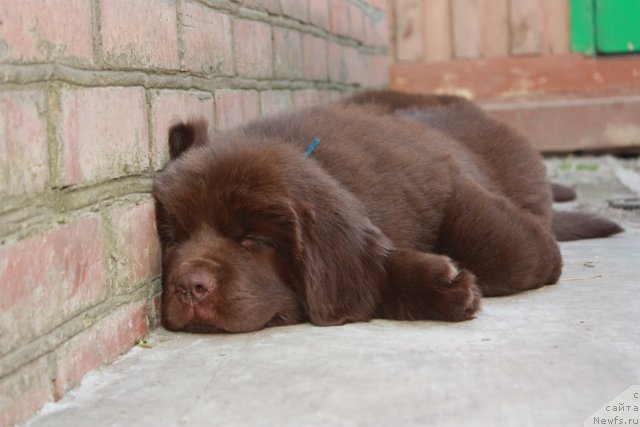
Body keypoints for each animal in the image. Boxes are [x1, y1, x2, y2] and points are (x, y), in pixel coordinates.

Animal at [152, 91, 624, 334]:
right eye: (173, 238)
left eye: (253, 239)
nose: (190, 287)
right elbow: (374, 272)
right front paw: (436, 284)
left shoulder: (452, 186)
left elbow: (508, 251)